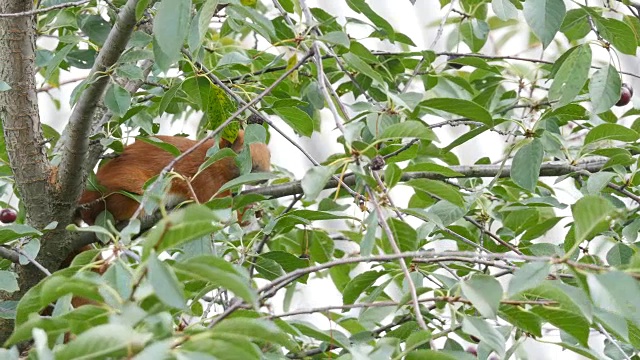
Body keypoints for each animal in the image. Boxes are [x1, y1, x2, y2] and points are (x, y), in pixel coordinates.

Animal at [79, 129, 272, 225]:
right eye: (241, 154)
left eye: (269, 155)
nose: (265, 177)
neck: (212, 160)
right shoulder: (205, 180)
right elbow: (220, 206)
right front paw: (251, 208)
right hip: (133, 189)